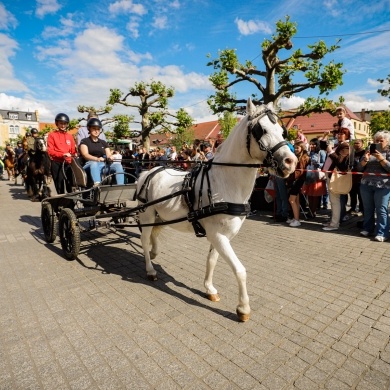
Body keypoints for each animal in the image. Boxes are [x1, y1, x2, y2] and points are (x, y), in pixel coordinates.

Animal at [136, 99, 298, 322]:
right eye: (261, 130)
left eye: (282, 131)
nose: (291, 162)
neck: (224, 183)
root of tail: (148, 171)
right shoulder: (218, 235)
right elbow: (240, 270)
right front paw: (243, 308)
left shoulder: (220, 235)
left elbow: (212, 260)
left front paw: (209, 289)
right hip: (147, 215)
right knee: (144, 239)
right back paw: (150, 269)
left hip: (160, 216)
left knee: (154, 235)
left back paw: (153, 253)